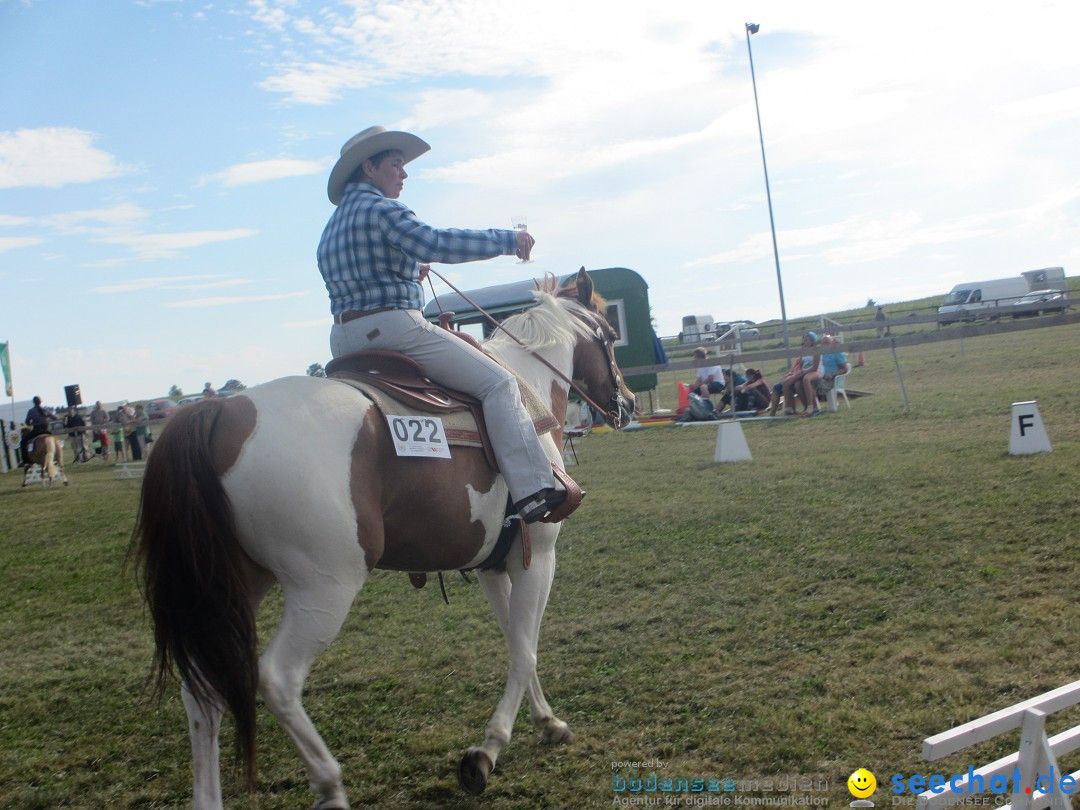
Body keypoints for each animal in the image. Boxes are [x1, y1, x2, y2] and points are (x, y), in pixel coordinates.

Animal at [133, 270, 630, 807]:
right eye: (609, 333)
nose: (625, 403)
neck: (524, 392)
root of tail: (220, 414)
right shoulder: (538, 557)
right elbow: (527, 649)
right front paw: (487, 751)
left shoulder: (494, 565)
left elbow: (517, 641)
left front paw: (546, 722)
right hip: (324, 588)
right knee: (277, 680)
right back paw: (329, 784)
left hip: (237, 584)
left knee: (201, 690)